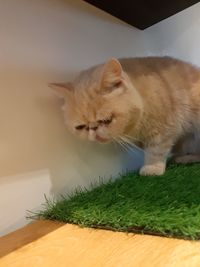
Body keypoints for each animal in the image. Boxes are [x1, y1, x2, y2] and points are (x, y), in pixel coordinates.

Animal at [50, 56, 200, 177]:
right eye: (81, 127)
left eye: (107, 120)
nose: (94, 132)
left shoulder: (164, 128)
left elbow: (156, 149)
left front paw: (152, 167)